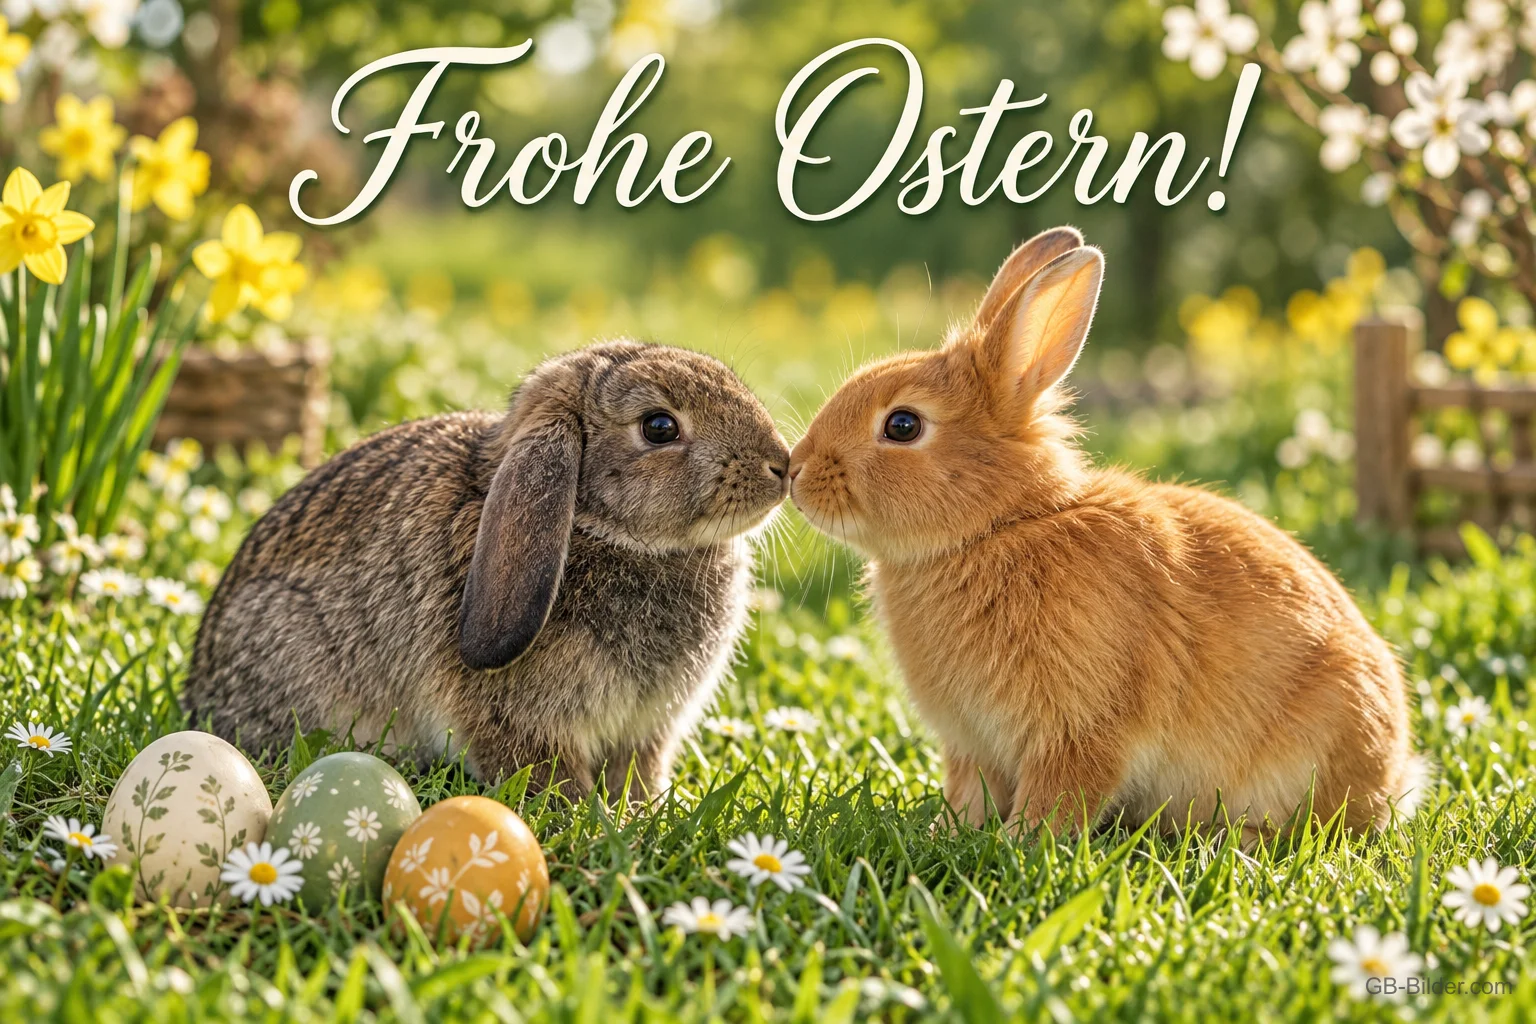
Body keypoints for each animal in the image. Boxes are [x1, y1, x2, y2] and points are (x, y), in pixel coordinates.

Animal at [183, 340, 790, 800]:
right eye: (660, 427)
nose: (780, 465)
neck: (592, 525)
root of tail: (199, 691)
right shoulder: (520, 723)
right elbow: (549, 778)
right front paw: (592, 821)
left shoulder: (647, 731)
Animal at [788, 227, 1425, 835]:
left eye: (902, 425)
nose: (796, 470)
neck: (1000, 526)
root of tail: (1393, 775)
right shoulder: (972, 743)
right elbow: (971, 791)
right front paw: (951, 832)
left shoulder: (1080, 725)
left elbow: (1061, 793)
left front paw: (1019, 842)